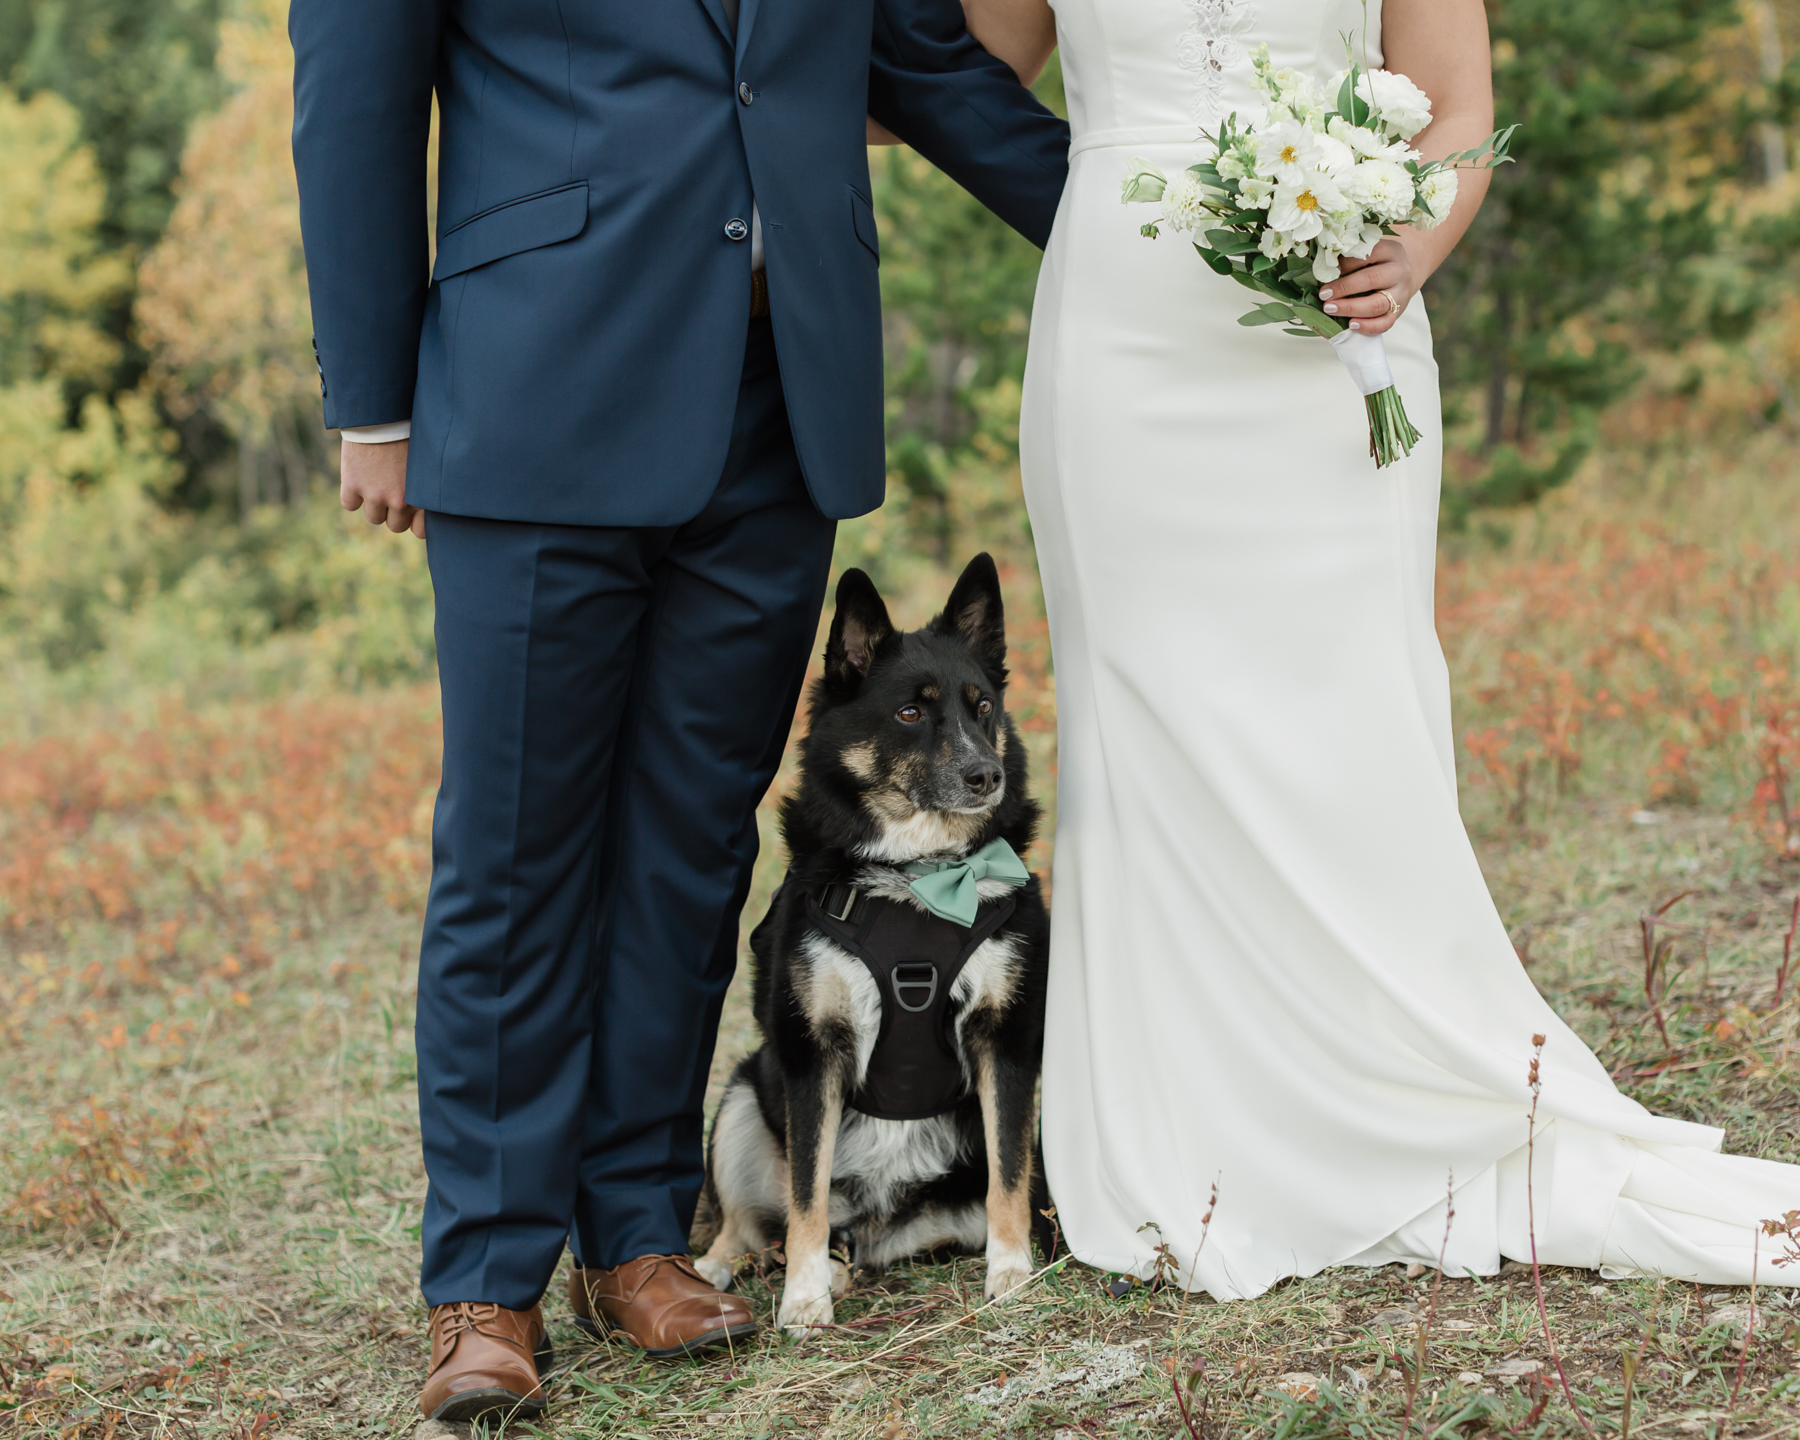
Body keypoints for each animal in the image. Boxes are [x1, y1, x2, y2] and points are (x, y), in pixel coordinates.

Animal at [691, 554, 1051, 1339]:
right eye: (910, 713)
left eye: (982, 707)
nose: (987, 776)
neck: (920, 877)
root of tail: (877, 1231)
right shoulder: (811, 1053)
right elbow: (804, 1194)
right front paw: (802, 1300)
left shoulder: (1004, 1039)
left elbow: (1010, 1172)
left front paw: (1013, 1273)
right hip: (741, 1096)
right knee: (750, 1223)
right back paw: (719, 1271)